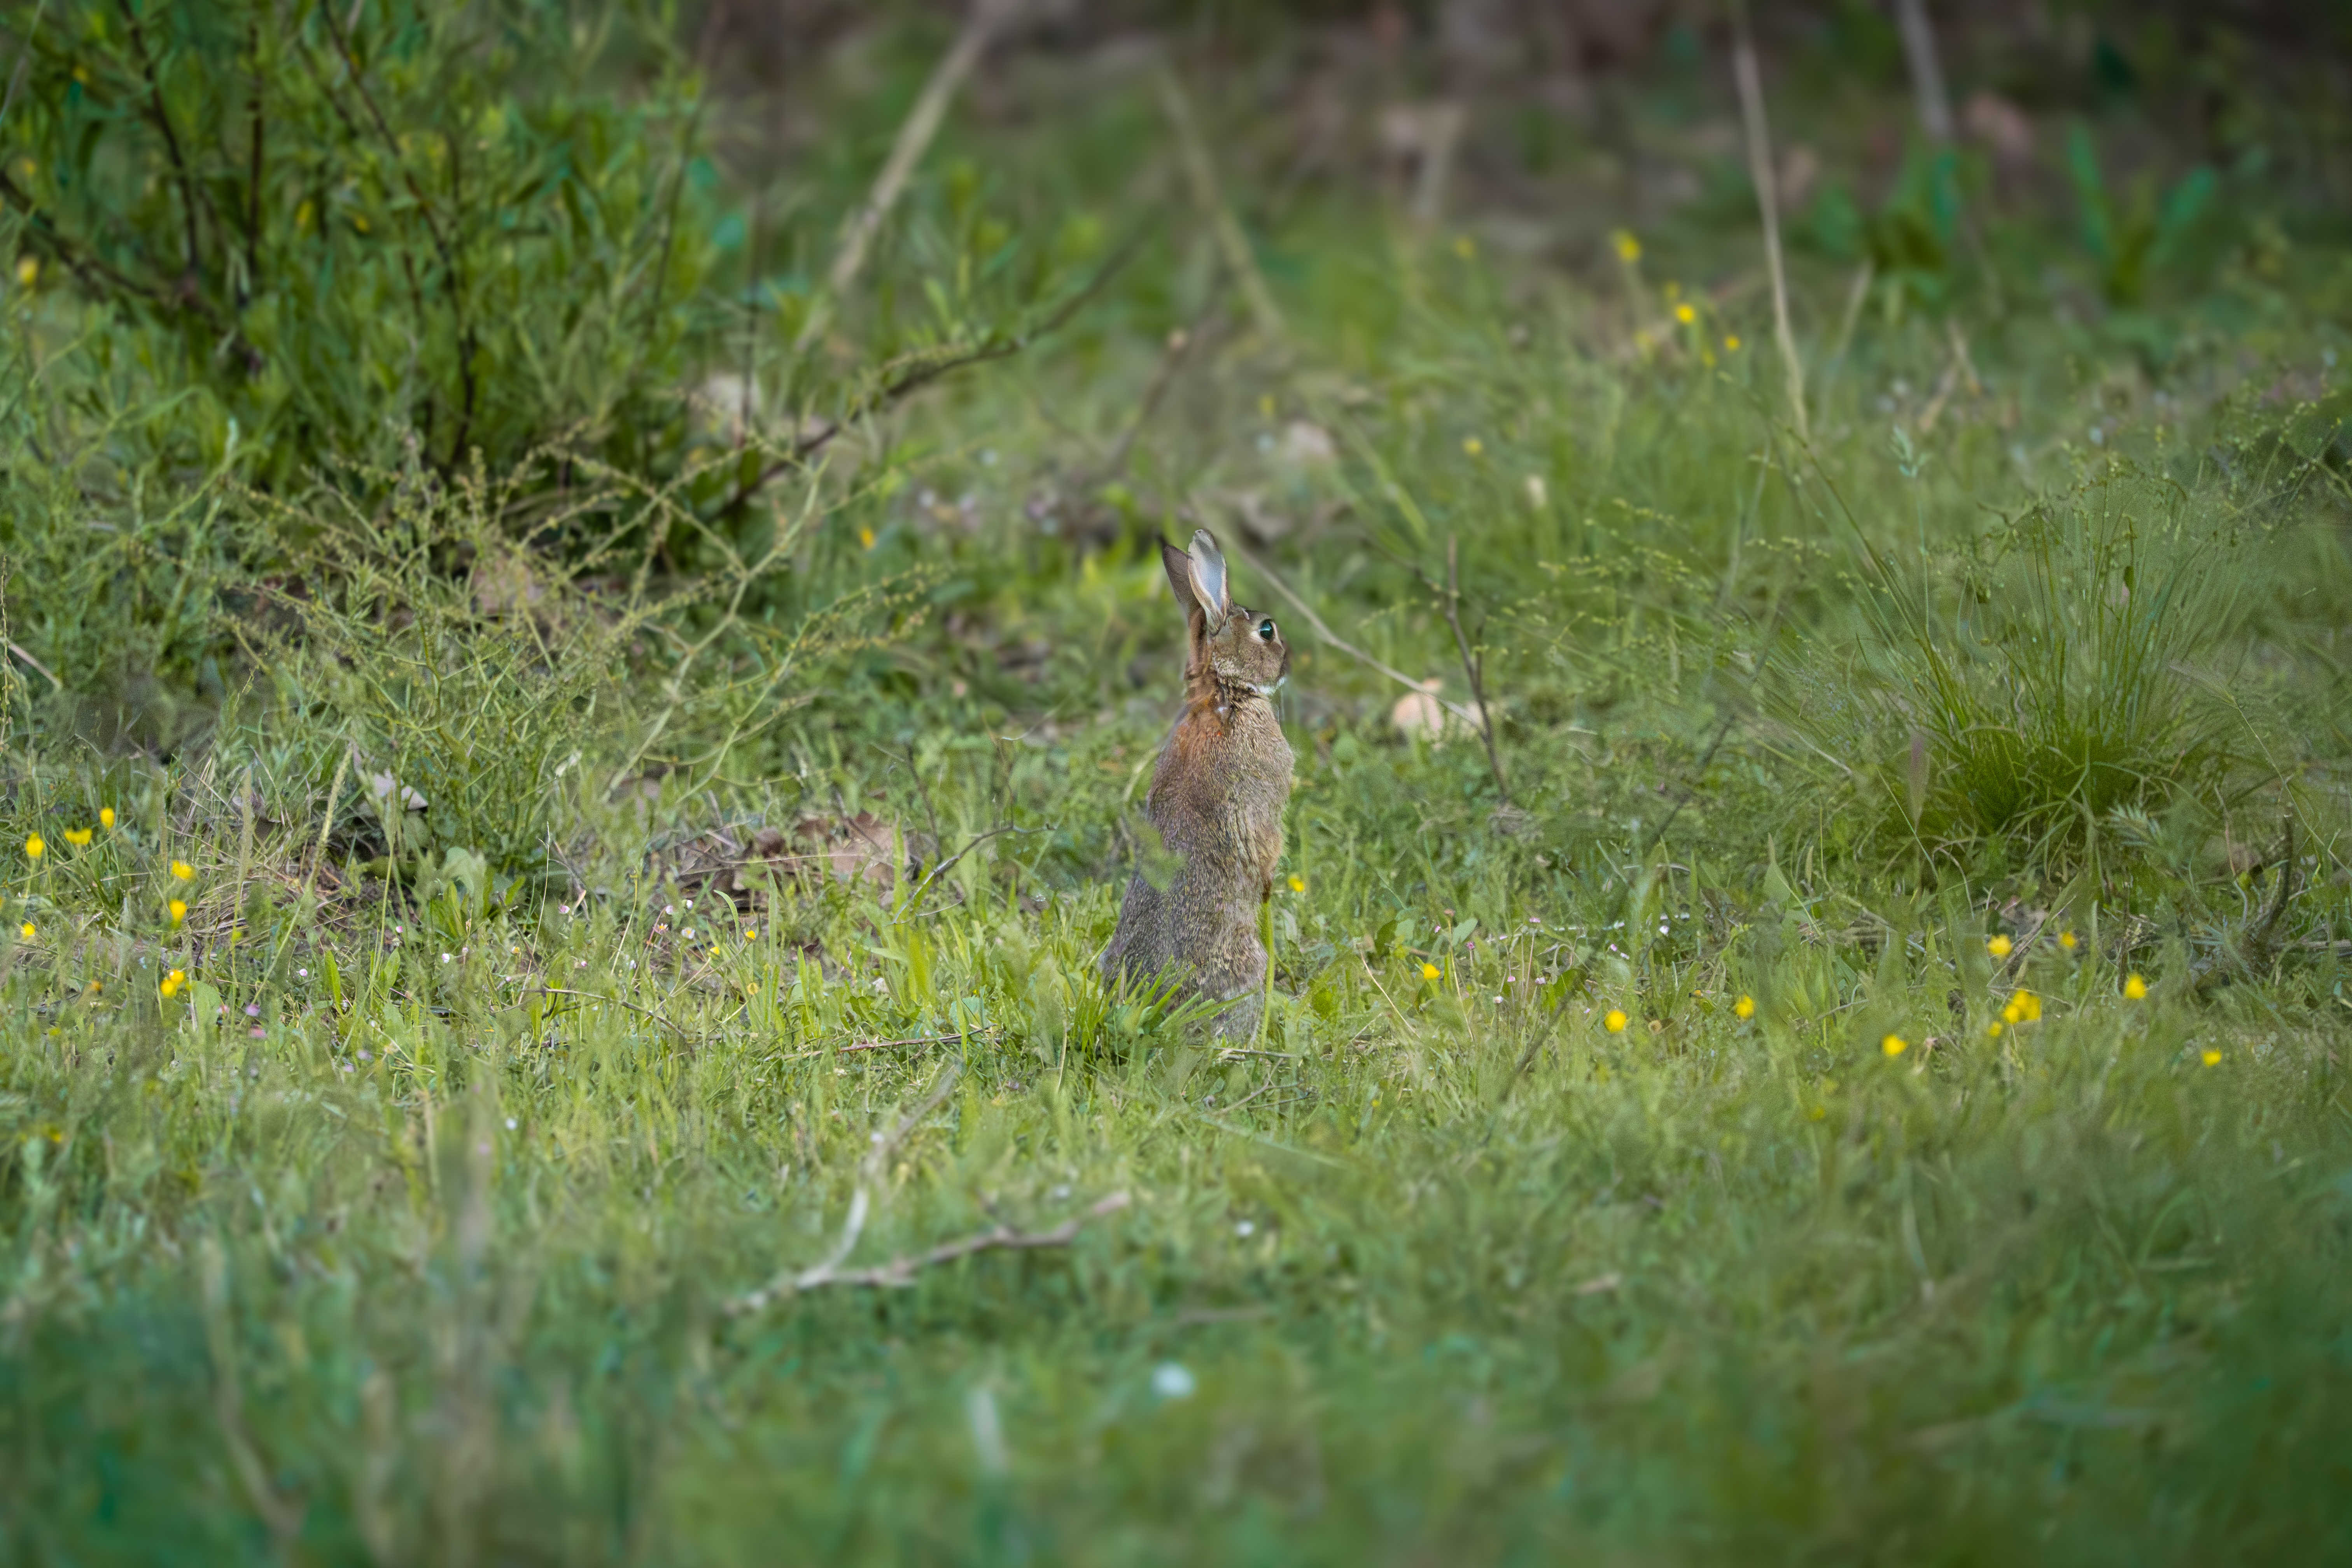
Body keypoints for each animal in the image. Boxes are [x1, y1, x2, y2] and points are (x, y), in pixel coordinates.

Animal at [1101, 529, 1294, 1038]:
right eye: (1267, 630)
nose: (1288, 662)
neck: (1224, 691)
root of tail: (1157, 1006)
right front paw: (1269, 886)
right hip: (1246, 966)